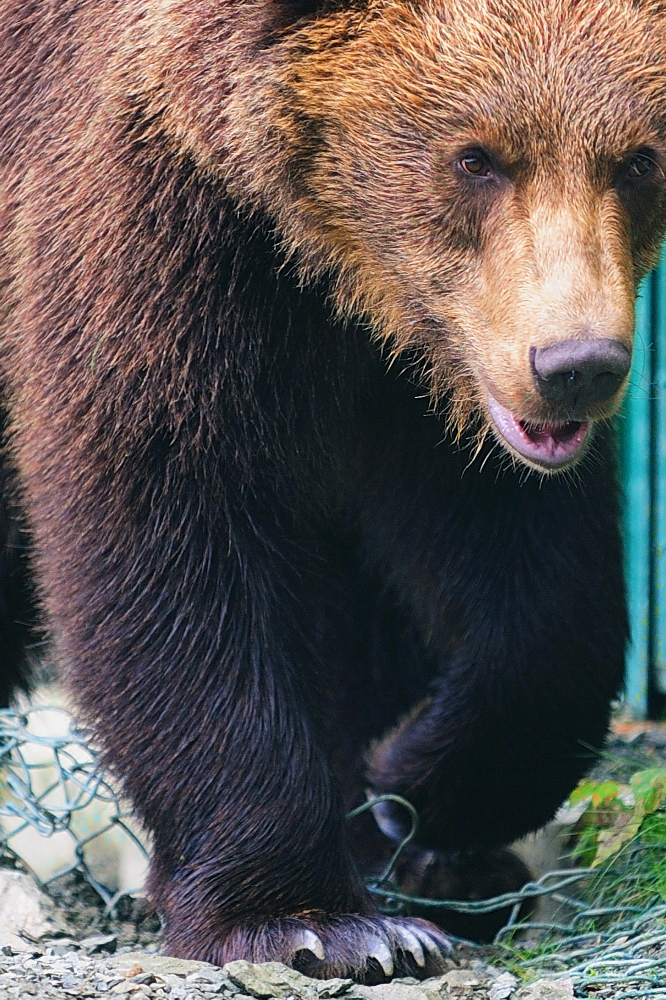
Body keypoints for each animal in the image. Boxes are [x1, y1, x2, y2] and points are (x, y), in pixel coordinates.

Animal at [0, 0, 660, 984]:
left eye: (638, 159)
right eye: (476, 157)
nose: (576, 366)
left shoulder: (434, 371)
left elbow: (537, 584)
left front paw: (414, 788)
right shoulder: (153, 223)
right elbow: (171, 530)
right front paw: (319, 921)